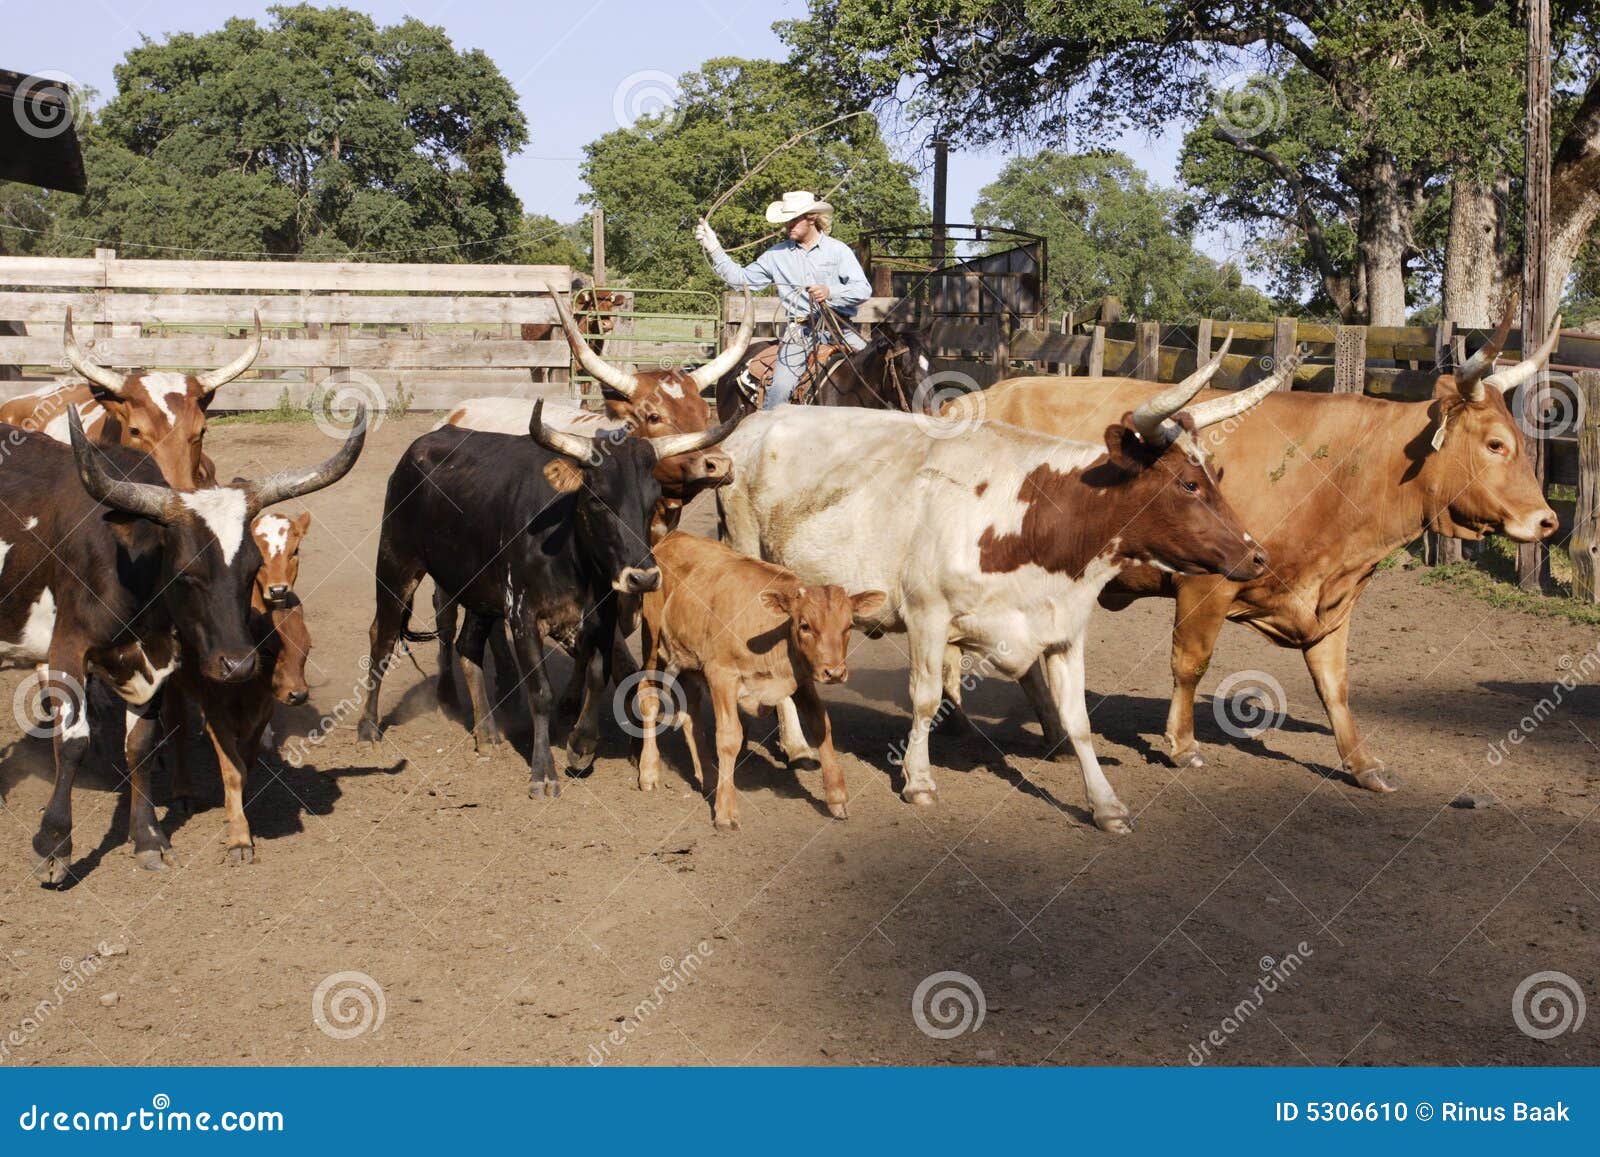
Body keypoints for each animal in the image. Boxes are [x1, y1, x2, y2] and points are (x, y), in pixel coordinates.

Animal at [0, 403, 366, 883]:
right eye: (185, 572)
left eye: (252, 568)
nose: (238, 665)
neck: (127, 567)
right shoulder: (68, 648)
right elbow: (73, 740)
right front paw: (53, 845)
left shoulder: (155, 662)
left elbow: (140, 744)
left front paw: (148, 838)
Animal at [356, 400, 736, 796]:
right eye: (598, 500)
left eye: (651, 501)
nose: (643, 577)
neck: (571, 554)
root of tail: (426, 442)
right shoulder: (523, 617)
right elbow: (540, 692)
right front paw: (543, 771)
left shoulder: (601, 619)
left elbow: (598, 676)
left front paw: (581, 745)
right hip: (396, 565)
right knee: (382, 639)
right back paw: (368, 729)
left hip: (480, 594)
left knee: (468, 646)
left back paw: (486, 731)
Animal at [636, 534, 889, 832]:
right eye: (805, 625)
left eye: (848, 626)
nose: (835, 672)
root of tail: (673, 538)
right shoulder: (721, 675)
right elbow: (729, 737)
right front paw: (726, 812)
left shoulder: (802, 679)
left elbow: (821, 724)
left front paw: (837, 798)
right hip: (653, 645)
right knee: (649, 697)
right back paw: (649, 771)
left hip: (689, 661)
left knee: (691, 715)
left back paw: (708, 776)